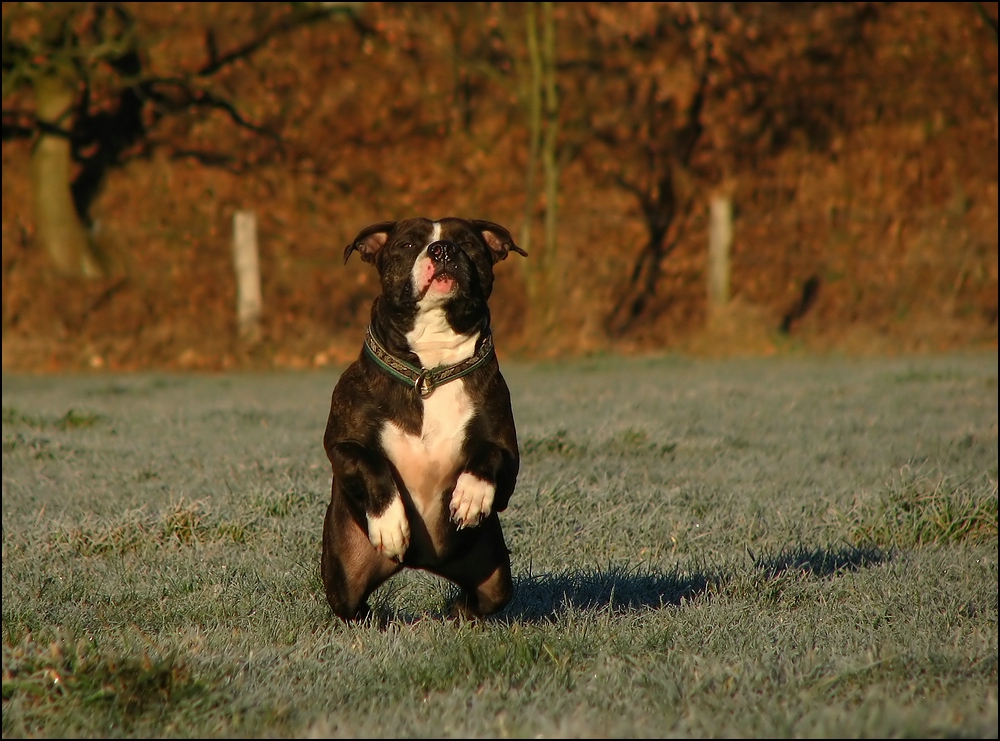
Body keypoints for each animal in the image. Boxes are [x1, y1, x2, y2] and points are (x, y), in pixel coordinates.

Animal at [320, 217, 528, 620]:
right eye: (407, 244)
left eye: (467, 243)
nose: (442, 249)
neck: (430, 370)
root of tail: (424, 563)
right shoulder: (341, 444)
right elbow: (370, 463)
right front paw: (389, 525)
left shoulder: (508, 460)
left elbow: (490, 456)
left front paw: (470, 496)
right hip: (343, 576)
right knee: (353, 604)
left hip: (493, 575)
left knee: (480, 598)